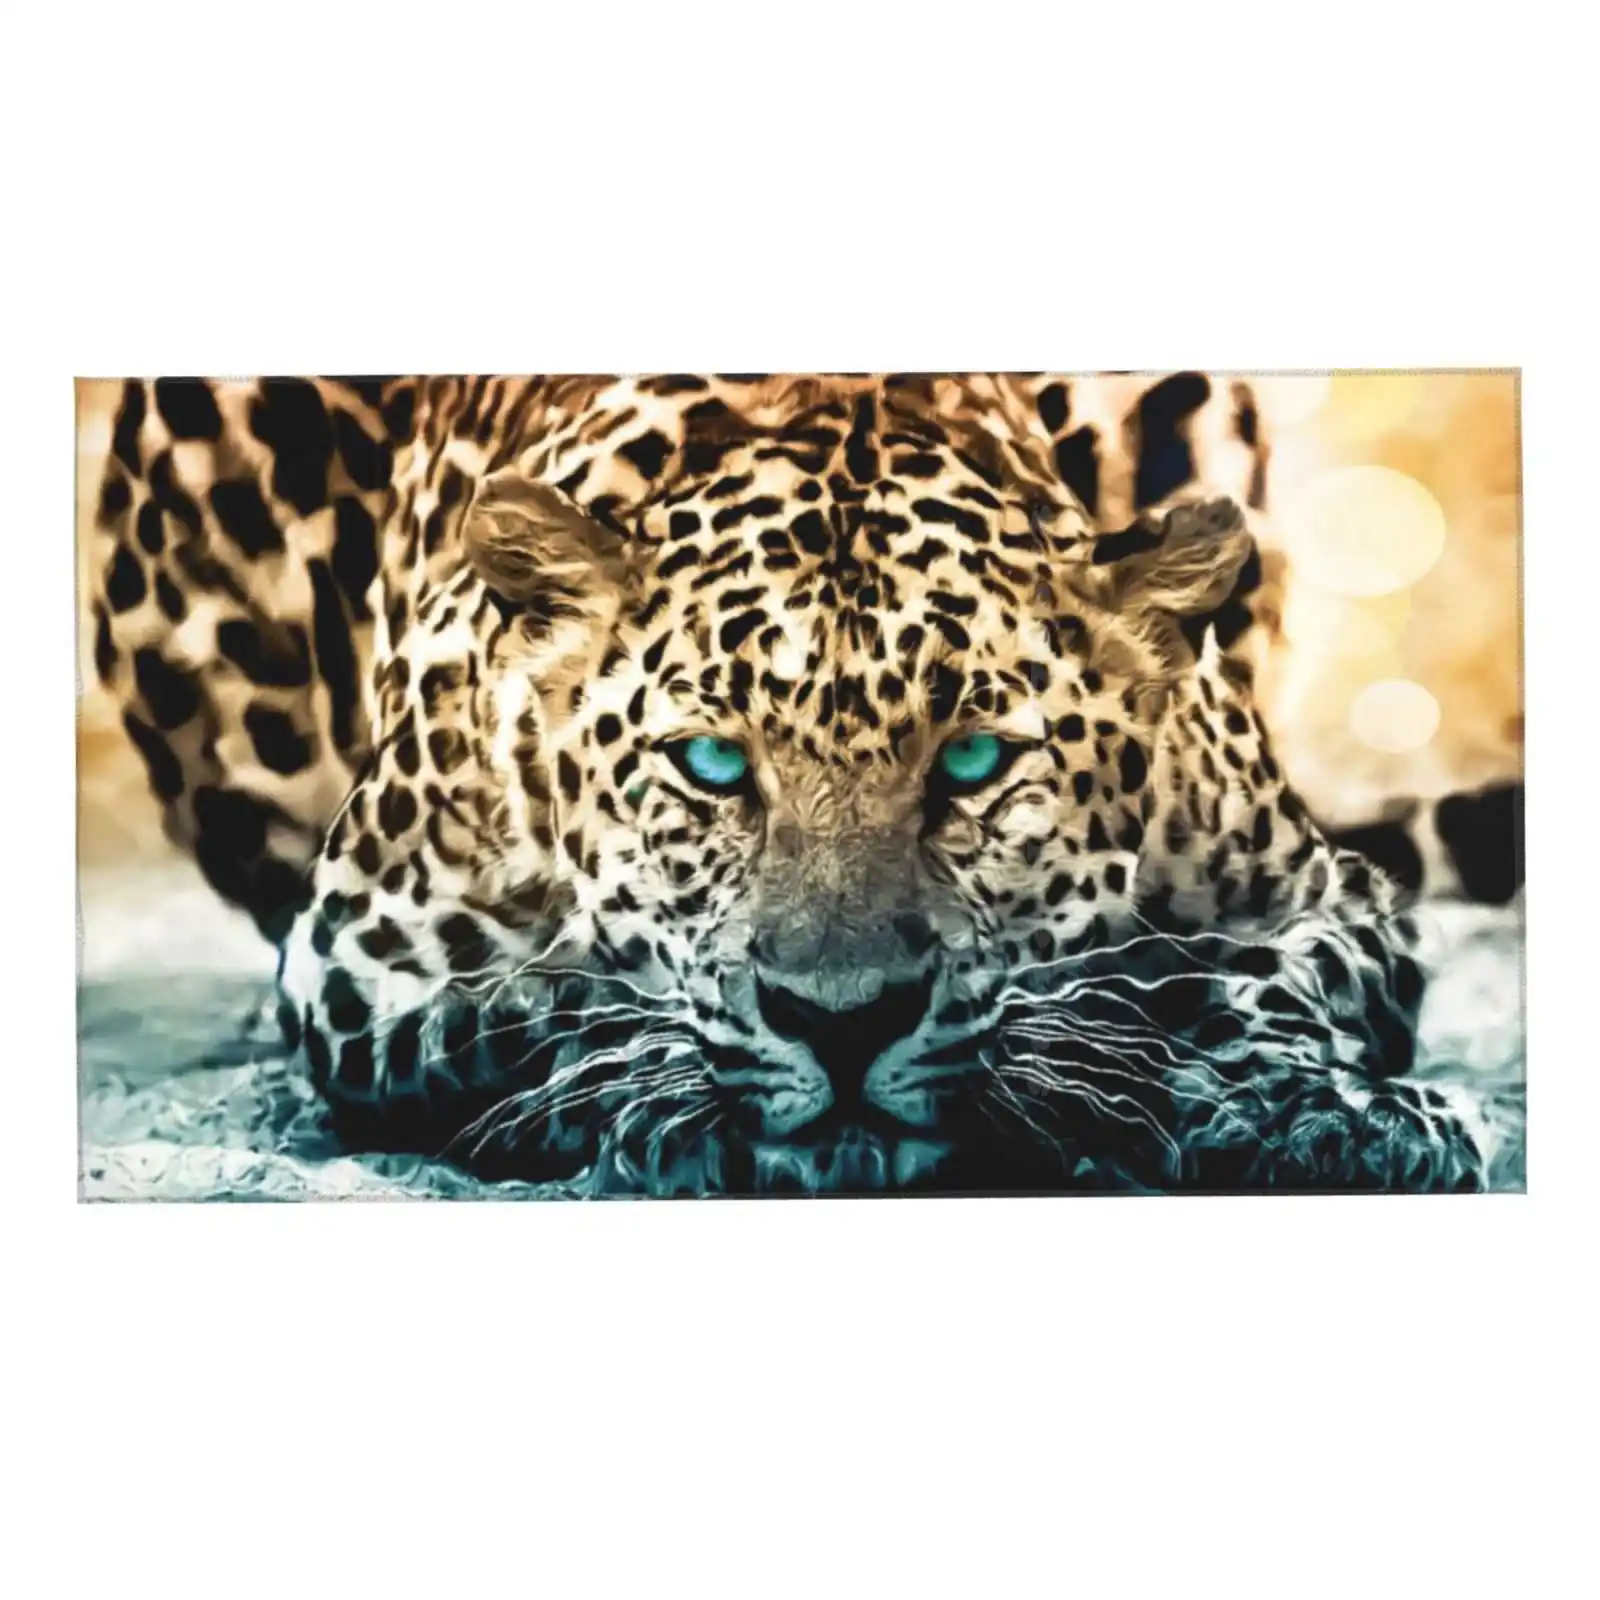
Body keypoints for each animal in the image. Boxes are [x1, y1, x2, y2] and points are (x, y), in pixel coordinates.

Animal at [87, 372, 1514, 1194]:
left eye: (973, 760)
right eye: (713, 763)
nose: (843, 1020)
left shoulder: (1326, 895)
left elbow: (1257, 975)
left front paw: (1323, 1107)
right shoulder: (357, 956)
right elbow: (527, 1009)